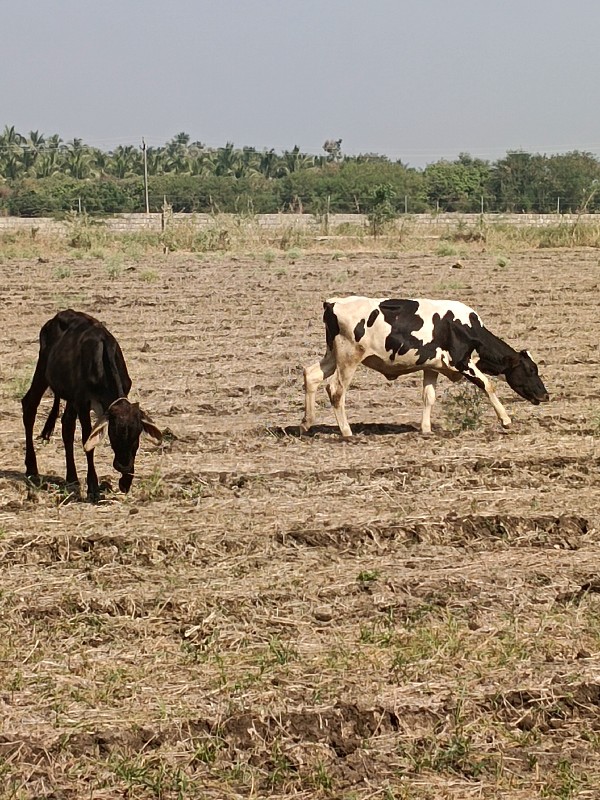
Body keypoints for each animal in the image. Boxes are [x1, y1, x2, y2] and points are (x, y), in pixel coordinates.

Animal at [22, 310, 162, 496]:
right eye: (113, 434)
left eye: (137, 435)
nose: (123, 467)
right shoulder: (82, 403)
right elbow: (87, 440)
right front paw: (93, 486)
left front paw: (125, 481)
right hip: (42, 371)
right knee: (29, 406)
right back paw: (32, 468)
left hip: (69, 395)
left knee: (67, 426)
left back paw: (72, 478)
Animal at [302, 296, 552, 440]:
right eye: (530, 370)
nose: (545, 395)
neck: (463, 326)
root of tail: (334, 302)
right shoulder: (461, 362)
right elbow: (487, 385)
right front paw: (506, 419)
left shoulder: (432, 365)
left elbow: (428, 397)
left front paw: (426, 428)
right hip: (349, 357)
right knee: (336, 390)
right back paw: (346, 432)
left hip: (333, 355)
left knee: (311, 375)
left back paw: (307, 423)